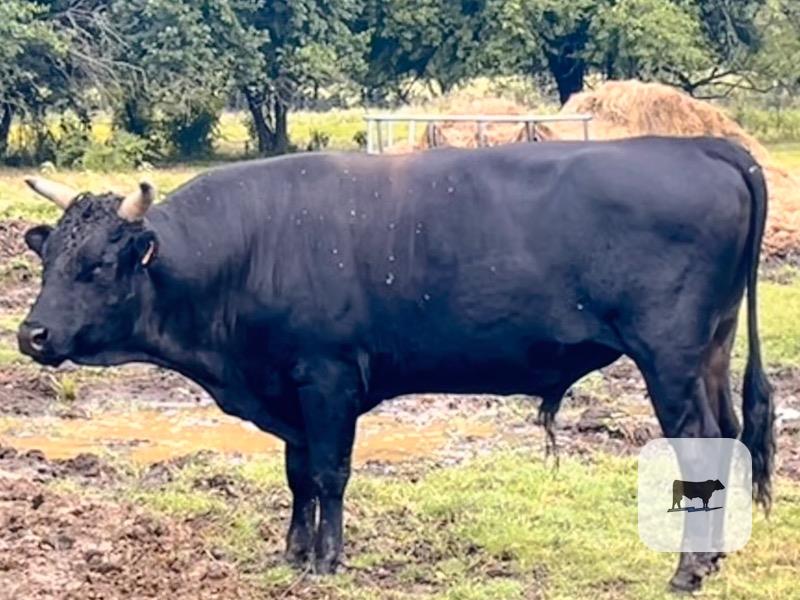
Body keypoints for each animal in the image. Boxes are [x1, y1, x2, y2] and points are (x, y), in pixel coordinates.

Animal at [17, 136, 774, 593]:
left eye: (97, 265)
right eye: (48, 257)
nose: (31, 334)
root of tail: (699, 144)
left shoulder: (326, 379)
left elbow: (328, 473)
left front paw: (326, 560)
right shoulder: (289, 389)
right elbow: (298, 475)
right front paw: (293, 552)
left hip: (669, 357)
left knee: (701, 441)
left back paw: (688, 568)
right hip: (710, 349)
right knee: (732, 432)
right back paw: (715, 555)